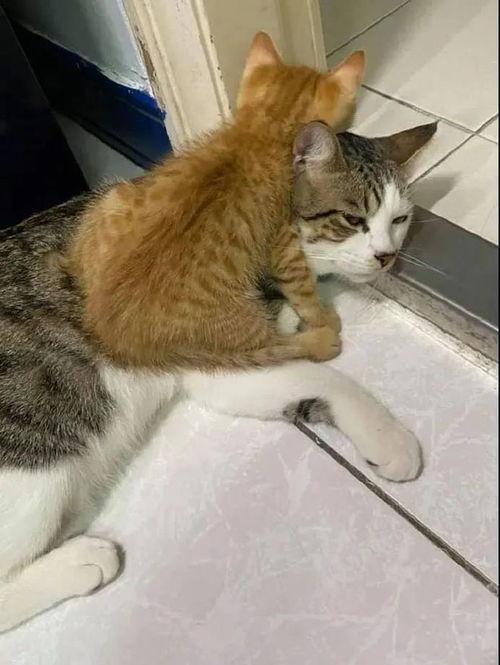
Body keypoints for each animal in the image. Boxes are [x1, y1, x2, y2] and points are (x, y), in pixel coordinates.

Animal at [0, 118, 434, 632]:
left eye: (400, 219)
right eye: (353, 220)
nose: (387, 256)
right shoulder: (215, 351)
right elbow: (332, 379)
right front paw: (391, 438)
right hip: (33, 464)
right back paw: (81, 561)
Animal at [63, 33, 365, 371]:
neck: (265, 131)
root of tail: (112, 335)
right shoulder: (284, 241)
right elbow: (303, 288)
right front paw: (322, 316)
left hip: (115, 197)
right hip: (239, 324)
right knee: (270, 348)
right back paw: (318, 341)